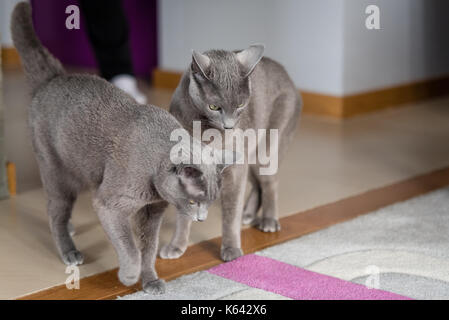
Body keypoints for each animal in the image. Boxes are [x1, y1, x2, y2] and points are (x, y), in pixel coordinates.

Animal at [10, 1, 233, 294]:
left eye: (210, 203)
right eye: (194, 201)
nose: (202, 219)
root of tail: (53, 78)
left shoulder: (152, 211)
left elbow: (148, 248)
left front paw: (150, 281)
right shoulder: (109, 205)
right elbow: (131, 248)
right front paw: (129, 276)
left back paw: (71, 228)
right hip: (58, 172)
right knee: (54, 211)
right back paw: (70, 251)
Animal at [159, 45, 302, 262]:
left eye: (241, 105)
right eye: (214, 106)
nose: (229, 126)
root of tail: (288, 76)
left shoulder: (234, 169)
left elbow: (230, 211)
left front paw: (231, 250)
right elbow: (184, 211)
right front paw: (177, 246)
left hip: (265, 150)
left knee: (269, 182)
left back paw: (268, 220)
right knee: (257, 183)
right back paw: (249, 214)